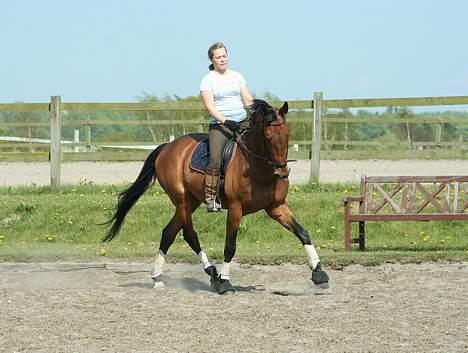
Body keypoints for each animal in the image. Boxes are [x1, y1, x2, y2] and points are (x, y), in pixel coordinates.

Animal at [102, 98, 330, 292]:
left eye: (287, 134)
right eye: (267, 137)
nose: (282, 172)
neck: (257, 166)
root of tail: (168, 147)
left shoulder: (276, 207)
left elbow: (302, 232)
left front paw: (319, 273)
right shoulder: (236, 209)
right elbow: (230, 246)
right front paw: (226, 281)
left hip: (191, 201)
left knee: (169, 232)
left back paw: (158, 277)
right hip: (181, 200)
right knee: (189, 234)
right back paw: (213, 273)